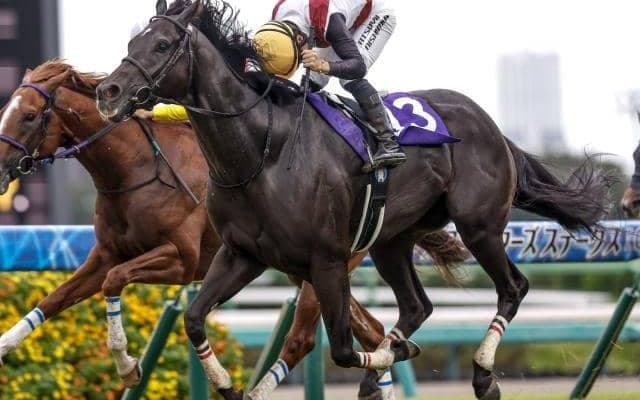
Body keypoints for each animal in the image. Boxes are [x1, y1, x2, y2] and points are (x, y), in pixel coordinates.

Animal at [0, 60, 465, 399]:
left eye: (29, 115)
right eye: (6, 111)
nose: (3, 170)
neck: (137, 170)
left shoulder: (180, 260)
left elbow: (115, 281)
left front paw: (128, 365)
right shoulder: (105, 254)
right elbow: (55, 298)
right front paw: (6, 345)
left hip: (327, 265)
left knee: (305, 340)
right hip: (305, 269)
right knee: (370, 332)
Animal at [96, 1, 614, 399]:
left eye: (162, 46)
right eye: (131, 46)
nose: (108, 90)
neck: (263, 153)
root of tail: (493, 128)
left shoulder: (326, 261)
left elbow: (343, 350)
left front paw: (382, 361)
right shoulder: (242, 254)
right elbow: (194, 318)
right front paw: (227, 385)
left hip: (479, 226)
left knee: (513, 288)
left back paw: (482, 375)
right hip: (391, 241)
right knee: (418, 306)